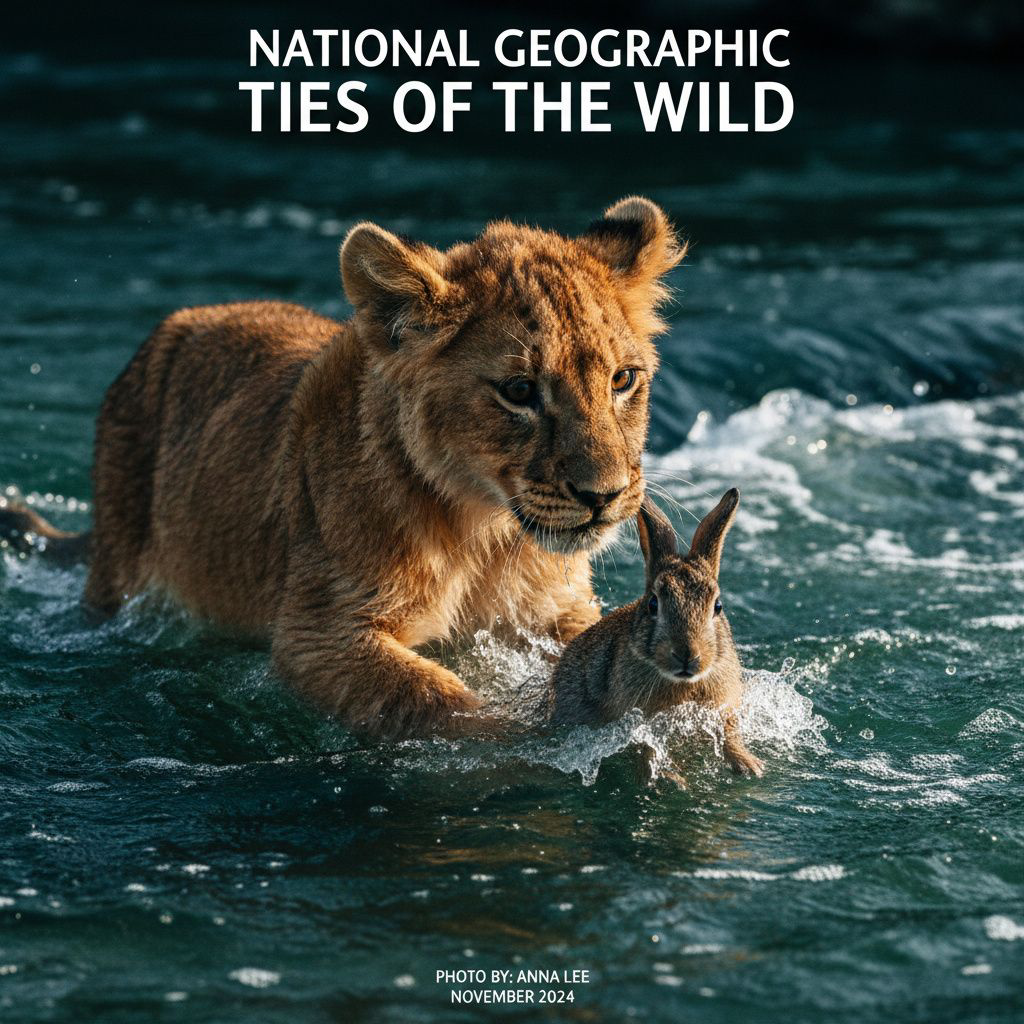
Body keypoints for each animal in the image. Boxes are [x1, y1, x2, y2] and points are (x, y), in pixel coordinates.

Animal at [0, 197, 684, 738]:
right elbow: (441, 703)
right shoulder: (317, 634)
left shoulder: (559, 613)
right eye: (518, 391)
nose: (605, 495)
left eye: (623, 380)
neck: (486, 532)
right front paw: (529, 744)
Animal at [550, 488, 764, 780]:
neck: (684, 683)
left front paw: (749, 765)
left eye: (718, 606)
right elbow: (647, 746)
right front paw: (671, 778)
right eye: (653, 604)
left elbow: (729, 733)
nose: (687, 654)